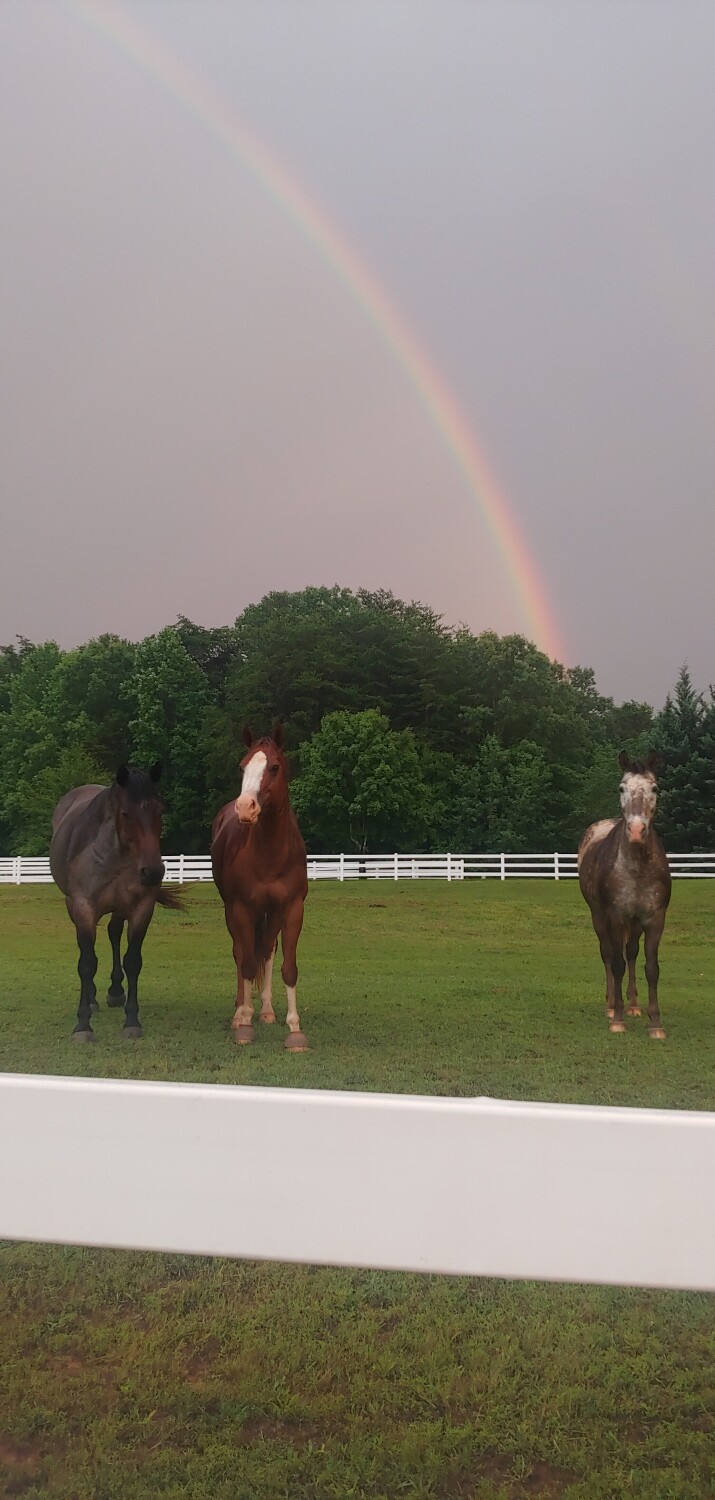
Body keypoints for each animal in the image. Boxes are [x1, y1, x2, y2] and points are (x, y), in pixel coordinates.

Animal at [50, 763, 180, 1041]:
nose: (153, 872)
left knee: (113, 932)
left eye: (159, 811)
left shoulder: (141, 909)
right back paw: (92, 1001)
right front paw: (83, 1024)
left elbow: (133, 961)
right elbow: (87, 963)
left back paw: (116, 991)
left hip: (119, 909)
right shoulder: (84, 909)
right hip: (73, 907)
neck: (115, 856)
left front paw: (132, 1020)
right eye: (125, 813)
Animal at [211, 725, 309, 1051]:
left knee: (266, 949)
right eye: (243, 767)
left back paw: (265, 1011)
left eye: (274, 767)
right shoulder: (241, 908)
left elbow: (287, 967)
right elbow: (246, 963)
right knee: (241, 954)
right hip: (234, 912)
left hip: (271, 914)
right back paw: (240, 1012)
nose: (245, 807)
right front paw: (244, 1024)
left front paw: (294, 1030)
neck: (270, 854)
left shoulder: (292, 909)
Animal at [578, 750, 671, 1039]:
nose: (637, 831)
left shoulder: (654, 919)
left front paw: (655, 1023)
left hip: (635, 923)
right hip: (599, 917)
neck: (637, 866)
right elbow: (616, 963)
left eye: (654, 788)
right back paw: (611, 1006)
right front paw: (617, 1019)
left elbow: (651, 968)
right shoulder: (616, 917)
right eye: (621, 788)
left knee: (630, 953)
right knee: (609, 954)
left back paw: (633, 1005)